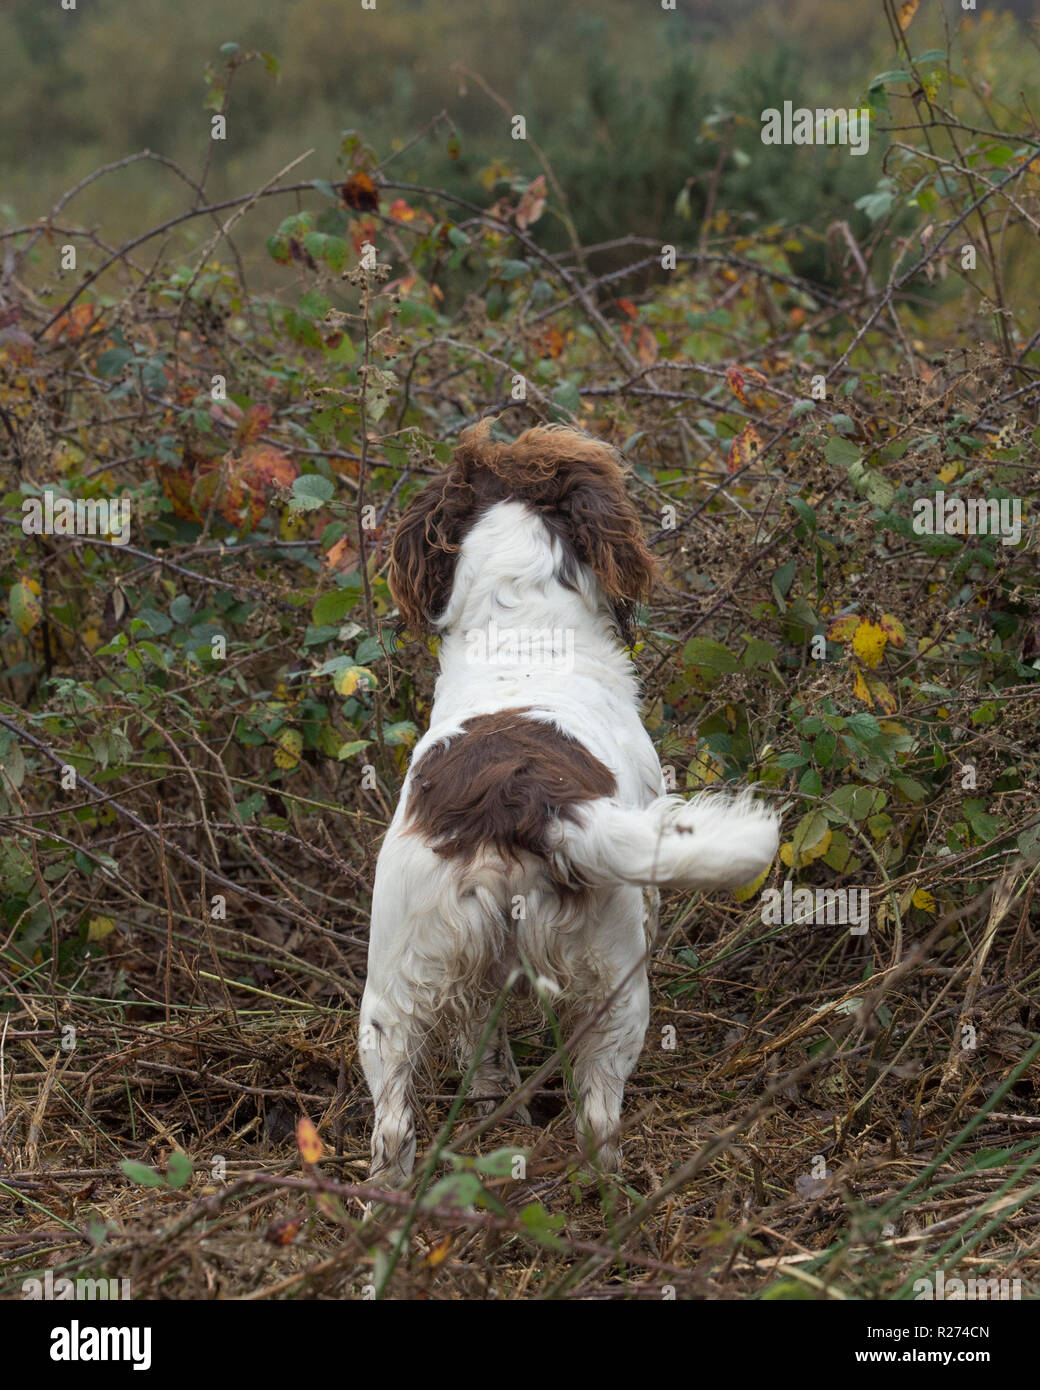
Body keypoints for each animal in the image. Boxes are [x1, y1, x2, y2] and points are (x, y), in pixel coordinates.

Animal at [361, 417, 778, 1178]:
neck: (523, 630)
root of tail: (515, 793)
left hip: (394, 988)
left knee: (394, 1124)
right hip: (617, 984)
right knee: (598, 1116)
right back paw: (612, 1189)